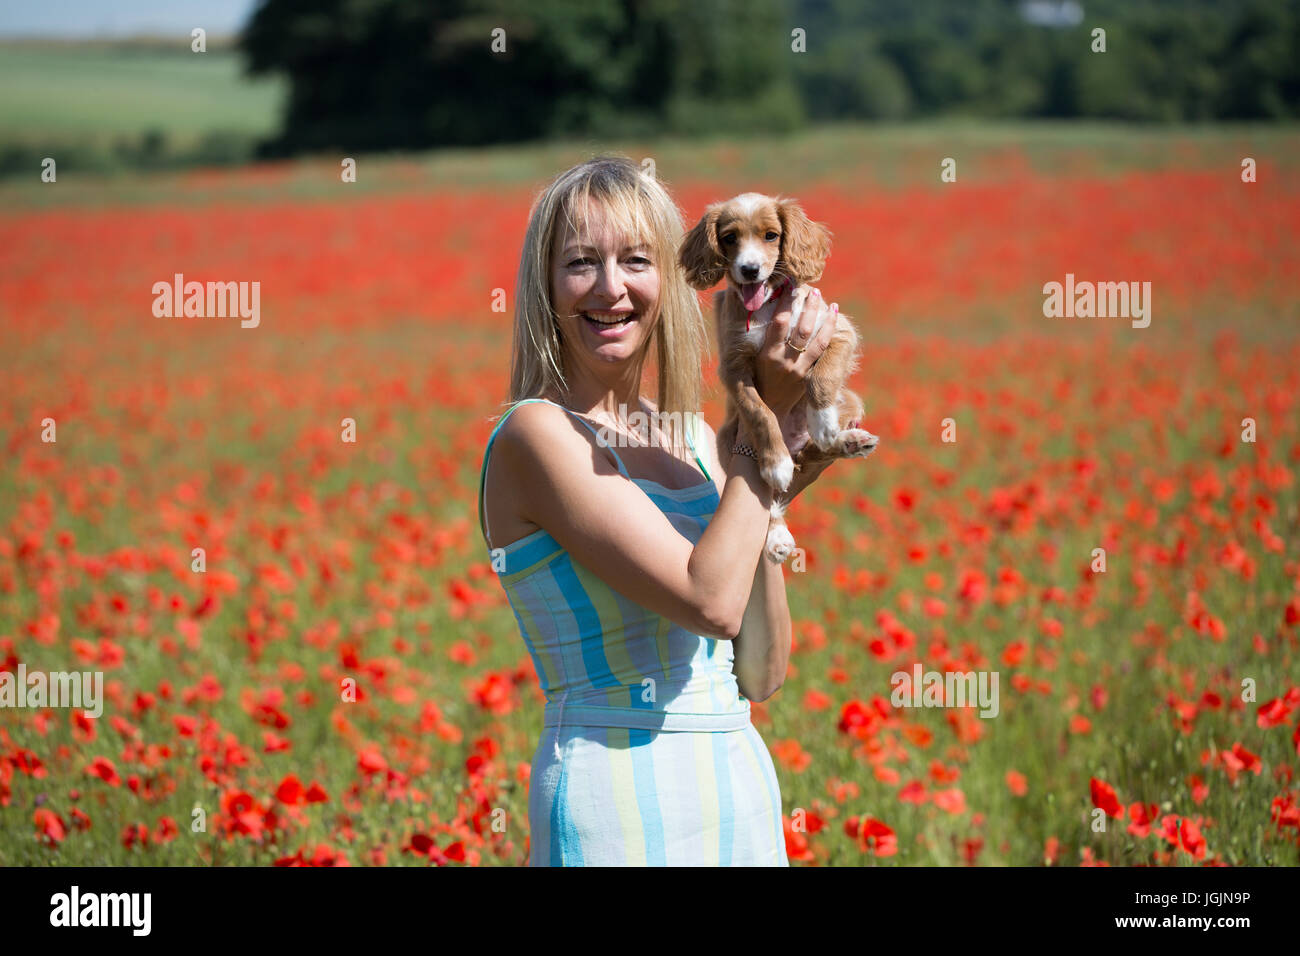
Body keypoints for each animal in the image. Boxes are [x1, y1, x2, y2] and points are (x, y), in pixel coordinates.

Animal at [676, 192, 878, 561]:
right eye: (729, 238)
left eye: (771, 235)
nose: (749, 269)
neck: (767, 306)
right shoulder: (734, 367)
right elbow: (761, 412)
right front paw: (775, 464)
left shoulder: (838, 330)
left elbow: (820, 379)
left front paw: (824, 424)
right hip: (725, 438)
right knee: (776, 492)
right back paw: (777, 534)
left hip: (852, 401)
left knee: (814, 452)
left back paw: (847, 441)